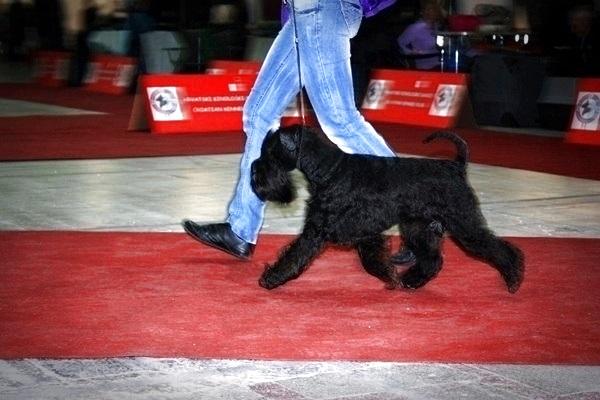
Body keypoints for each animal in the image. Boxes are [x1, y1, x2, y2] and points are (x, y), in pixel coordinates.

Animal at [251, 125, 524, 292]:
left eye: (271, 152)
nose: (254, 175)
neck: (329, 171)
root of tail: (457, 166)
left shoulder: (317, 231)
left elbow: (294, 255)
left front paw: (271, 278)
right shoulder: (364, 232)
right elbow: (370, 260)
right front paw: (390, 276)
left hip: (463, 223)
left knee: (497, 248)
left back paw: (513, 278)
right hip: (418, 227)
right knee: (432, 259)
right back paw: (412, 281)